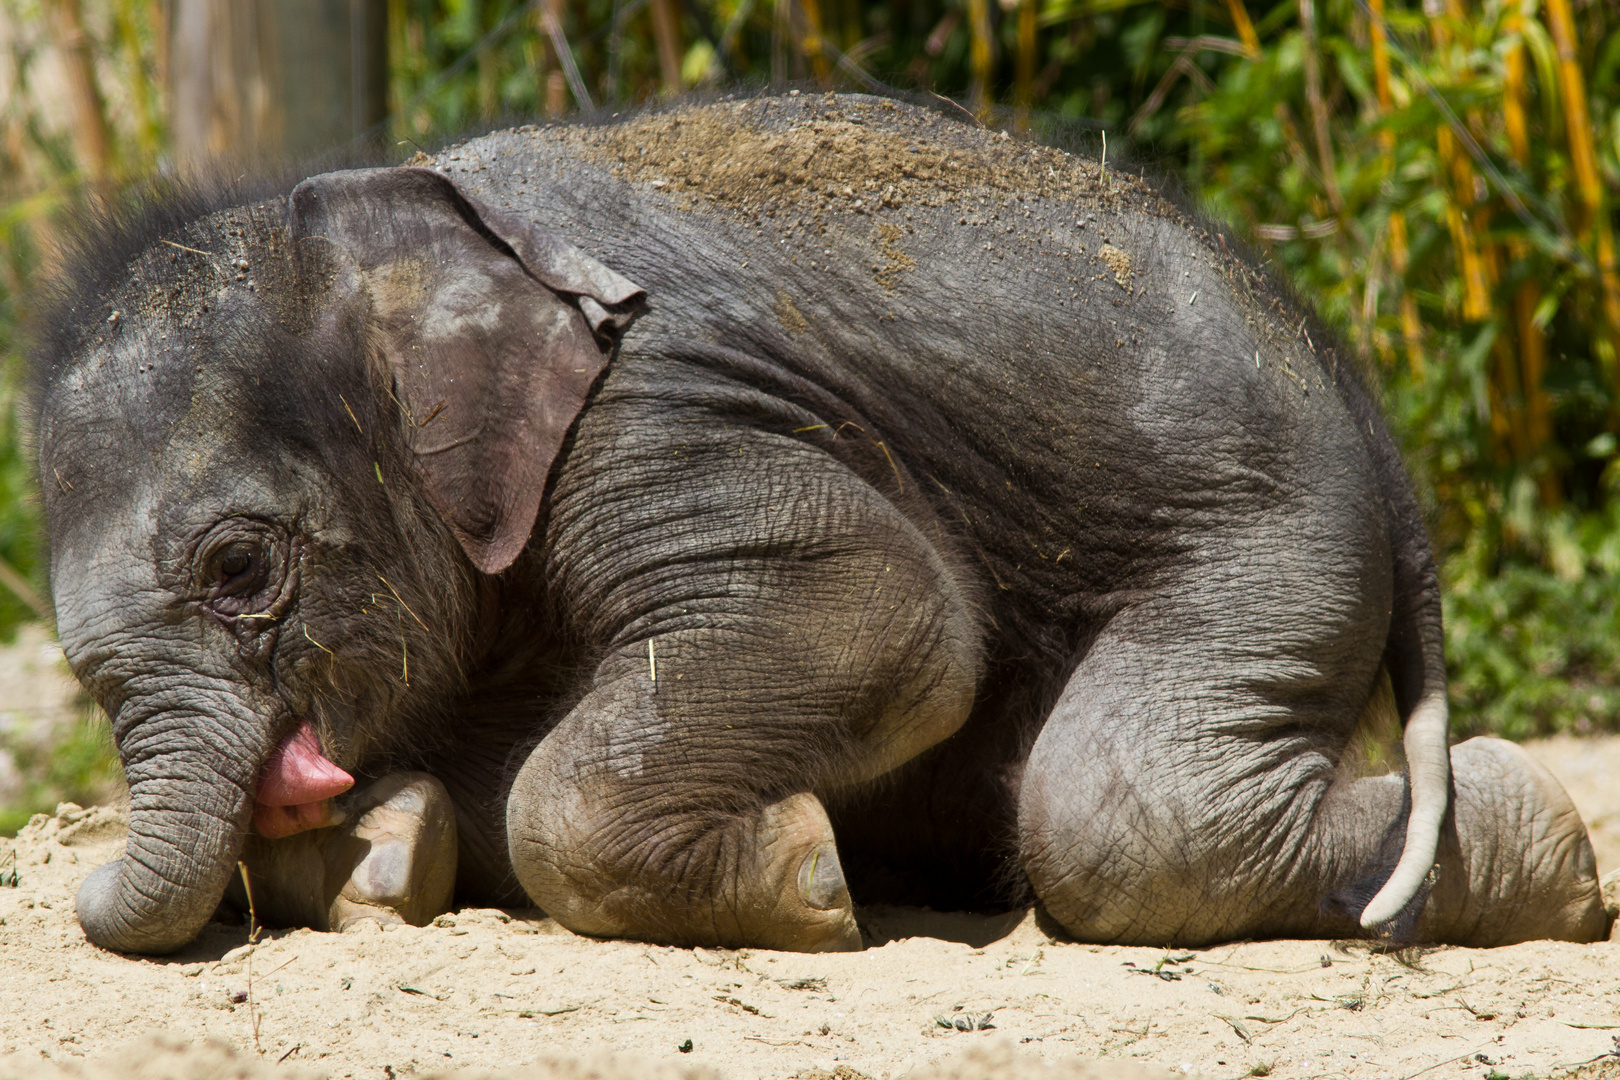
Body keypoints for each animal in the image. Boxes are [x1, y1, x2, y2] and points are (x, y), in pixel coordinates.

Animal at [38, 93, 1607, 952]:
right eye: (78, 668)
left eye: (240, 568)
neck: (381, 236)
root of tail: (1371, 417)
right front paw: (393, 850)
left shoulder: (656, 406)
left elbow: (891, 614)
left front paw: (806, 879)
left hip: (1273, 532)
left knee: (1119, 815)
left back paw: (1558, 853)